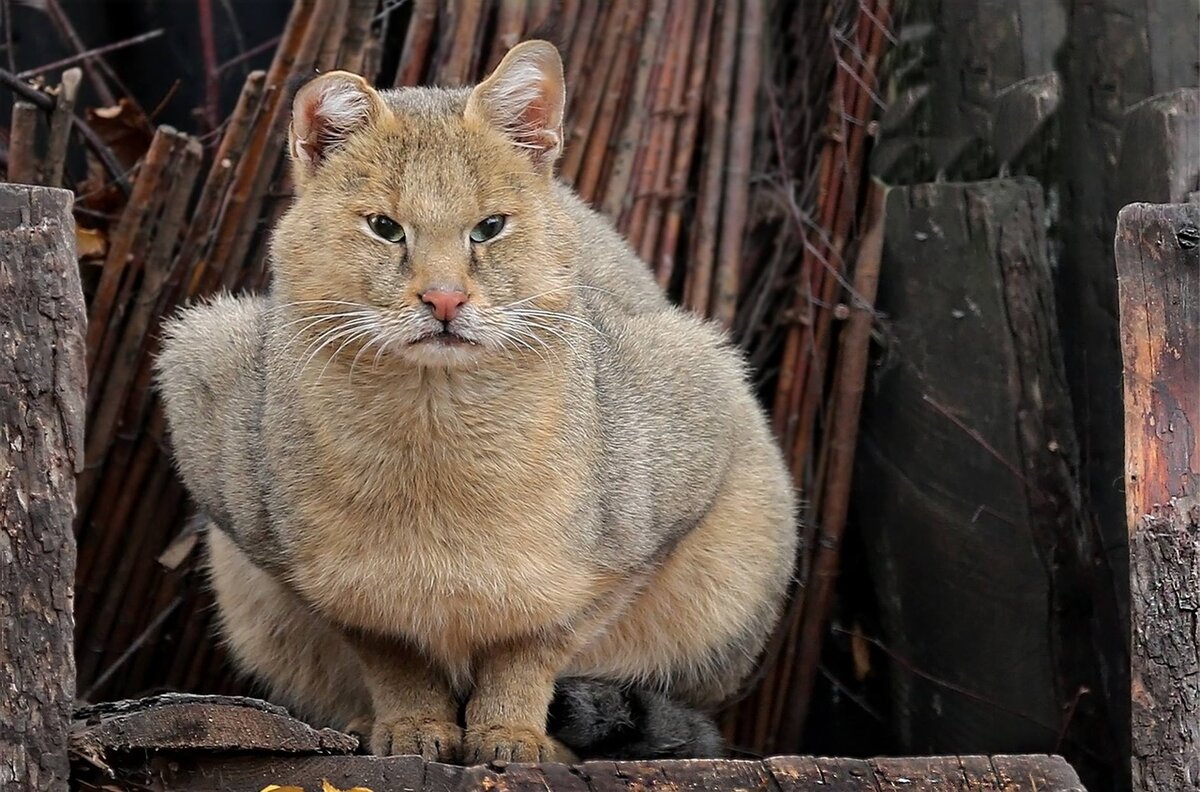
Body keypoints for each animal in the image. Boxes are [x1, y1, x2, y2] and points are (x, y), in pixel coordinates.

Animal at [157, 40, 796, 763]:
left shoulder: (654, 516)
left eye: (488, 228)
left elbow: (532, 651)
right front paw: (412, 726)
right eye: (385, 228)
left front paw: (510, 734)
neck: (435, 442)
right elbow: (392, 654)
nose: (444, 299)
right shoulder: (264, 526)